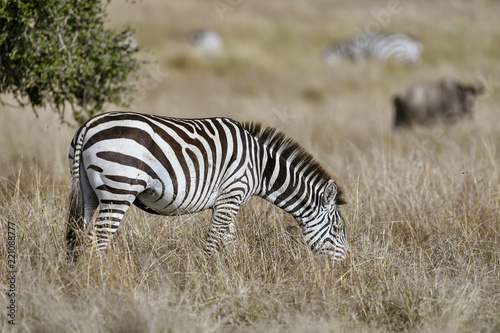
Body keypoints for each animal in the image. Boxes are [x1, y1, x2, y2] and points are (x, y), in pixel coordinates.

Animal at [65, 112, 348, 262]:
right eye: (338, 229)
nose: (344, 267)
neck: (261, 167)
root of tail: (88, 125)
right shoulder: (232, 194)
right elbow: (214, 240)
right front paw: (207, 273)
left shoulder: (226, 201)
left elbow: (230, 240)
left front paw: (236, 273)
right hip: (119, 189)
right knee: (99, 239)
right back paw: (100, 279)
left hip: (87, 191)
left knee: (77, 234)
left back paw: (77, 277)